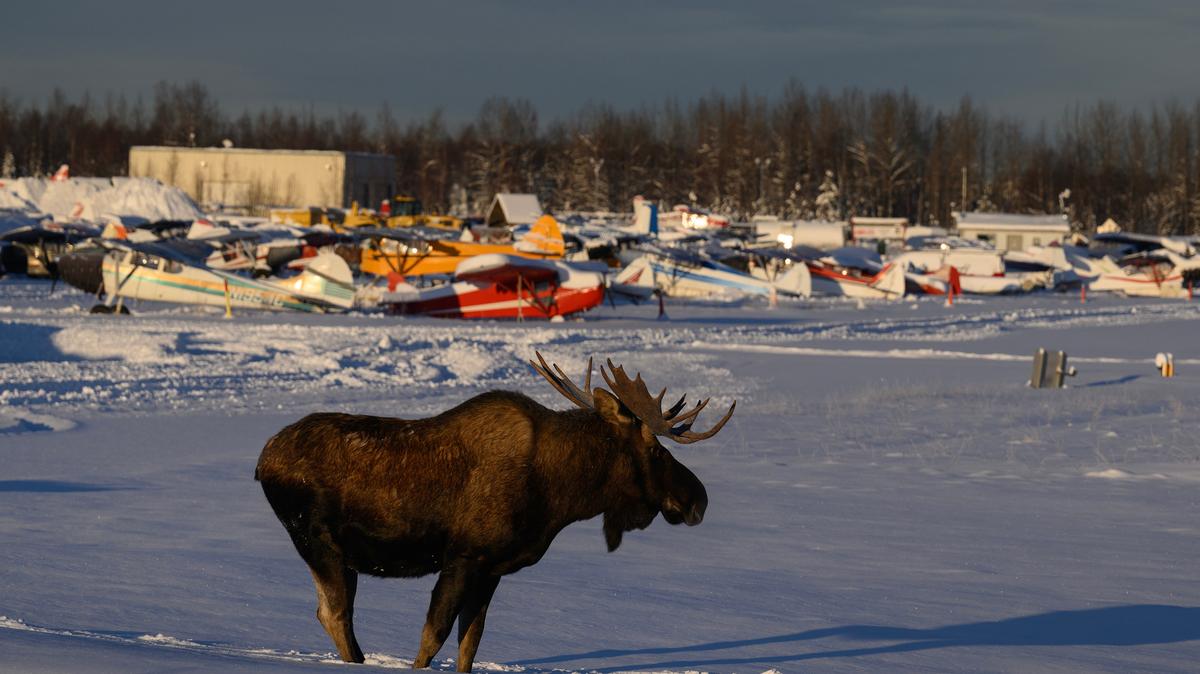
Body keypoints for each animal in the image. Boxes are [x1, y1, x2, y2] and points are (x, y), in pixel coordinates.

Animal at [254, 352, 735, 672]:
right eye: (655, 450)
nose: (698, 499)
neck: (561, 495)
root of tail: (262, 461)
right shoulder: (464, 557)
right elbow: (432, 637)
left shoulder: (492, 570)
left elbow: (470, 643)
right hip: (320, 542)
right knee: (335, 615)